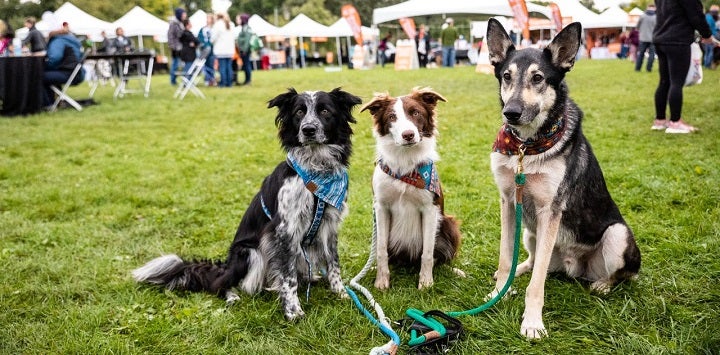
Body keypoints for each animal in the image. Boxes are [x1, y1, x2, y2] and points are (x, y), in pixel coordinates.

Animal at [131, 87, 360, 322]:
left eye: (324, 111)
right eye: (299, 112)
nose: (308, 130)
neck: (316, 173)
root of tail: (227, 263)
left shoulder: (329, 224)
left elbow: (333, 263)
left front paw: (341, 294)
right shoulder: (284, 230)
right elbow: (288, 278)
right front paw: (293, 311)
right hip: (250, 253)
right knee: (221, 283)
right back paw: (233, 296)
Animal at [358, 87, 462, 290]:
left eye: (416, 113)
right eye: (391, 116)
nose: (408, 135)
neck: (405, 165)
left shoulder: (430, 209)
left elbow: (428, 253)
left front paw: (426, 283)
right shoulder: (381, 208)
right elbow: (381, 250)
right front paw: (381, 281)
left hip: (449, 223)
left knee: (439, 257)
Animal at [484, 18, 640, 340]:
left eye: (538, 78)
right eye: (506, 76)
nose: (511, 112)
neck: (525, 147)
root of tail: (572, 266)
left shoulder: (550, 211)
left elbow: (537, 285)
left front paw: (532, 322)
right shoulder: (508, 202)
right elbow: (505, 258)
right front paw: (498, 293)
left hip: (617, 234)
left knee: (622, 274)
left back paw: (602, 284)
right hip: (529, 231)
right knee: (533, 261)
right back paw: (521, 268)